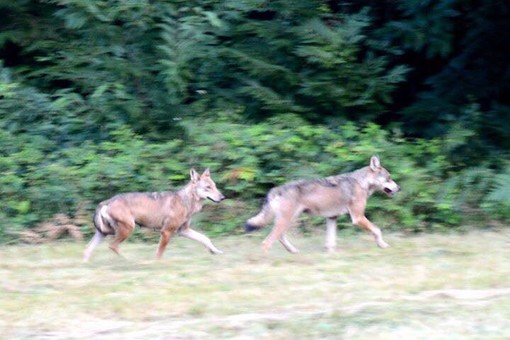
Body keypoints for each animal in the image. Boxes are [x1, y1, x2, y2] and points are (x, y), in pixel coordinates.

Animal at [83, 169, 223, 262]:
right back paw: (130, 261)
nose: (223, 197)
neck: (186, 201)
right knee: (112, 246)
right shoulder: (166, 232)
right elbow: (159, 252)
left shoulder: (183, 230)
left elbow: (205, 238)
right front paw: (157, 264)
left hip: (104, 233)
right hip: (127, 230)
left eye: (215, 186)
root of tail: (107, 201)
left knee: (87, 249)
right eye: (208, 187)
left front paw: (215, 251)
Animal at [245, 156, 400, 252]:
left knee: (280, 238)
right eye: (389, 178)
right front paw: (383, 245)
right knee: (267, 242)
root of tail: (276, 189)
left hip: (288, 221)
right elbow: (377, 230)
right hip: (286, 221)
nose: (399, 188)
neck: (362, 183)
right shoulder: (358, 218)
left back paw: (293, 251)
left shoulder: (332, 218)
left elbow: (331, 242)